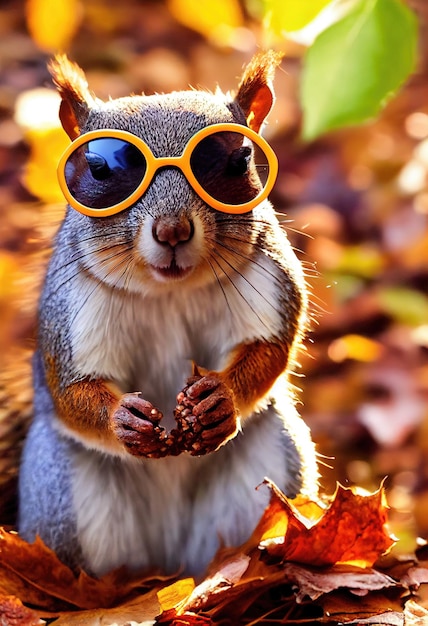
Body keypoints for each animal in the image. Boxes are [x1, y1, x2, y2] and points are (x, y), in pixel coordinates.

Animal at [17, 51, 318, 576]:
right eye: (99, 168)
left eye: (237, 160)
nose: (173, 230)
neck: (168, 291)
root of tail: (168, 564)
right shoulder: (70, 311)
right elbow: (70, 388)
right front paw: (122, 419)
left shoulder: (269, 276)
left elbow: (270, 349)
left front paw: (220, 400)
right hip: (62, 496)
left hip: (272, 461)